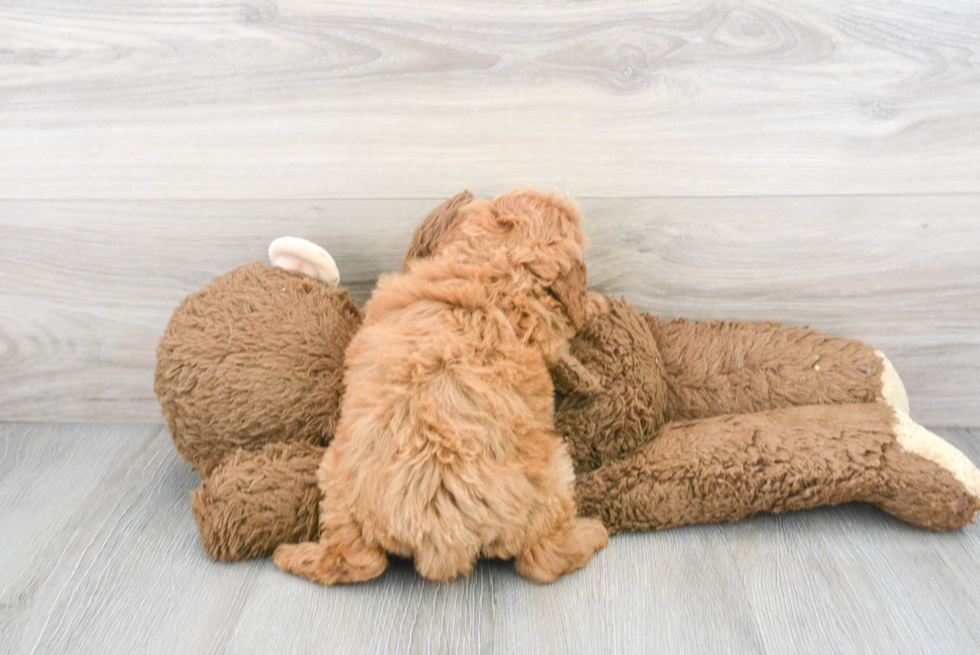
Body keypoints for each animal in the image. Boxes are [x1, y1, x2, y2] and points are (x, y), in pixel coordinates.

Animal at [272, 188, 608, 584]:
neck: (492, 267)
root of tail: (440, 533)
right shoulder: (544, 328)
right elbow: (566, 334)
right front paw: (592, 316)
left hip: (336, 480)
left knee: (356, 558)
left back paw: (294, 556)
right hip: (555, 471)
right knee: (543, 559)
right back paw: (592, 533)